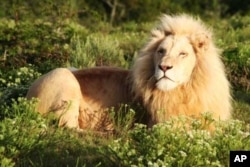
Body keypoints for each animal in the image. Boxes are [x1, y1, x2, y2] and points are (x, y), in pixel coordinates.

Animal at [26, 14, 231, 131]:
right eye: (161, 51)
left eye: (183, 54)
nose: (164, 67)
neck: (187, 91)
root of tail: (27, 97)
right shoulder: (160, 126)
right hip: (64, 76)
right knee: (68, 128)